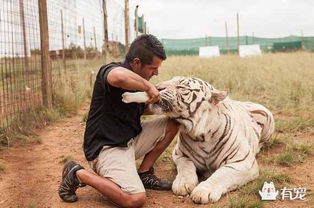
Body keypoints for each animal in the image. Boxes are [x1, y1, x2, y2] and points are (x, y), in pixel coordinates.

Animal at [122, 76, 274, 203]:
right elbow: (186, 167)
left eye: (181, 87)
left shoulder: (243, 162)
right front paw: (182, 184)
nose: (156, 87)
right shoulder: (179, 155)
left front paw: (203, 191)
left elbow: (222, 175)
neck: (200, 135)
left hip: (268, 120)